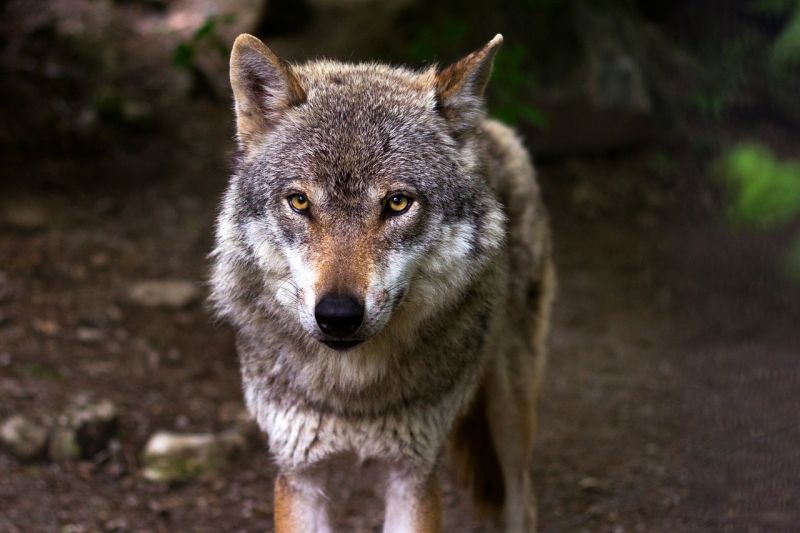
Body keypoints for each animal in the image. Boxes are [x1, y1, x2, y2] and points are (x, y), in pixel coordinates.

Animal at [210, 32, 555, 532]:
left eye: (396, 203)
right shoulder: (299, 474)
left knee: (522, 499)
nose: (337, 315)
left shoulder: (413, 474)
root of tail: (487, 127)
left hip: (511, 411)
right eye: (299, 201)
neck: (352, 392)